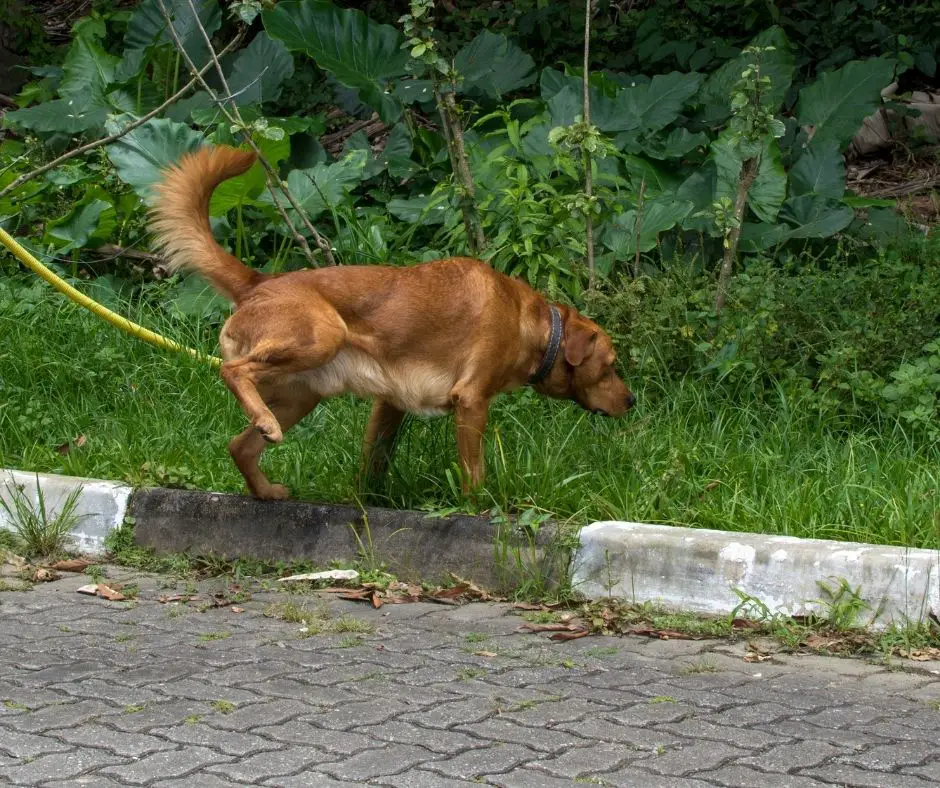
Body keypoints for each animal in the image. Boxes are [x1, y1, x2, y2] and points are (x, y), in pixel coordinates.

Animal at [152, 145, 640, 498]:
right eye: (611, 365)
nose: (632, 401)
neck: (534, 326)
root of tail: (258, 282)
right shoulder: (471, 401)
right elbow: (475, 474)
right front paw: (481, 508)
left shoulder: (389, 405)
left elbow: (374, 462)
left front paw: (366, 501)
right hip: (323, 337)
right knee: (232, 371)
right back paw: (263, 425)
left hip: (301, 394)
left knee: (239, 445)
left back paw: (267, 491)